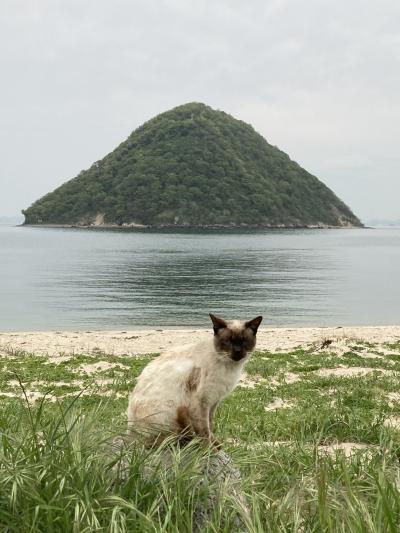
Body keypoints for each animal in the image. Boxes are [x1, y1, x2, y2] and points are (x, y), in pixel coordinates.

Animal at [126, 312, 262, 444]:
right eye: (228, 341)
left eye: (244, 341)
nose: (237, 351)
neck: (230, 367)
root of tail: (129, 434)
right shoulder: (202, 402)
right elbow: (204, 431)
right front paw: (209, 448)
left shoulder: (213, 401)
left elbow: (210, 426)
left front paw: (216, 445)